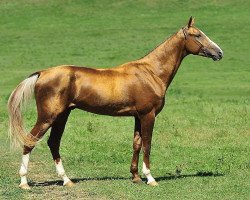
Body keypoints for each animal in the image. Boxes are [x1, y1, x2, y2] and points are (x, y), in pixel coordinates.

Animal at [7, 16, 223, 189]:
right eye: (197, 35)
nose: (219, 53)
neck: (151, 72)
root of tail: (42, 73)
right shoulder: (148, 115)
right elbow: (147, 144)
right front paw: (150, 178)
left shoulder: (137, 116)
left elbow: (137, 143)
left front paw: (135, 177)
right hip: (48, 117)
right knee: (30, 141)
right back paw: (24, 183)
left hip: (62, 116)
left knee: (53, 143)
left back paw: (66, 180)